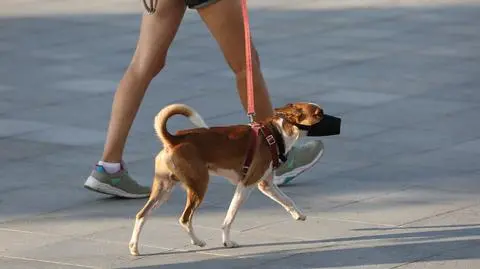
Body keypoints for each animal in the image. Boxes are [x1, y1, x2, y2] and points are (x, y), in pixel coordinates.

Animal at [128, 101, 322, 254]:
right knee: (185, 219)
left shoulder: (266, 184)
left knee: (141, 215)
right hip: (199, 186)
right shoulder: (246, 185)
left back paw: (134, 247)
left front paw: (298, 214)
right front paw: (227, 242)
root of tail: (173, 140)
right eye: (318, 114)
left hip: (163, 189)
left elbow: (287, 200)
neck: (276, 134)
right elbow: (229, 217)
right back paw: (197, 241)